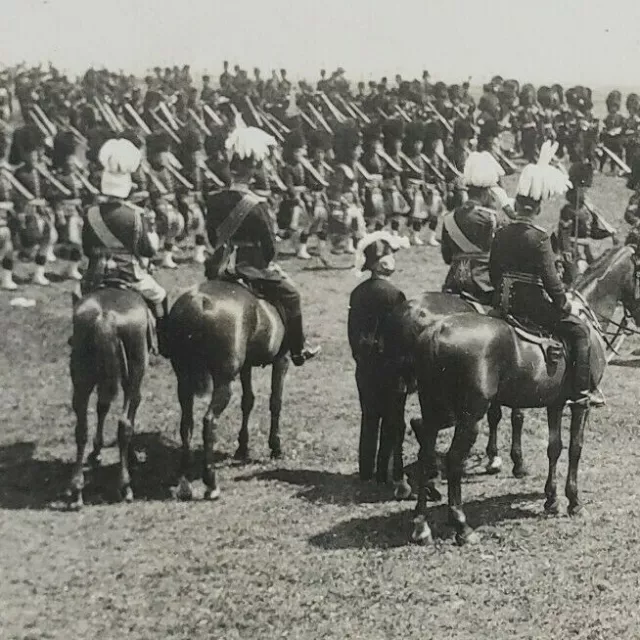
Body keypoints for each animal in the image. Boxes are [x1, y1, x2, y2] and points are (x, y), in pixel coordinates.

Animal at [68, 290, 151, 510]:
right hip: (134, 375)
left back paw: (76, 490)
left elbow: (102, 407)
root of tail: (106, 318)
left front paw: (97, 450)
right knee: (124, 425)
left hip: (82, 380)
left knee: (81, 429)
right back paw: (125, 485)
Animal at [165, 280, 288, 500]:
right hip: (223, 381)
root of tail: (198, 302)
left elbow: (248, 401)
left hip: (183, 380)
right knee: (209, 421)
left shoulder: (246, 366)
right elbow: (275, 401)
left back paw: (185, 483)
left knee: (186, 424)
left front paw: (242, 447)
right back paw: (211, 483)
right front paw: (276, 447)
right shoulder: (281, 360)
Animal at [408, 245, 640, 544]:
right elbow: (575, 448)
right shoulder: (580, 404)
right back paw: (462, 526)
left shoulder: (555, 403)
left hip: (435, 409)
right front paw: (574, 502)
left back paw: (420, 524)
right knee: (453, 459)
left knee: (425, 453)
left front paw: (551, 500)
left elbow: (554, 447)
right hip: (469, 415)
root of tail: (438, 331)